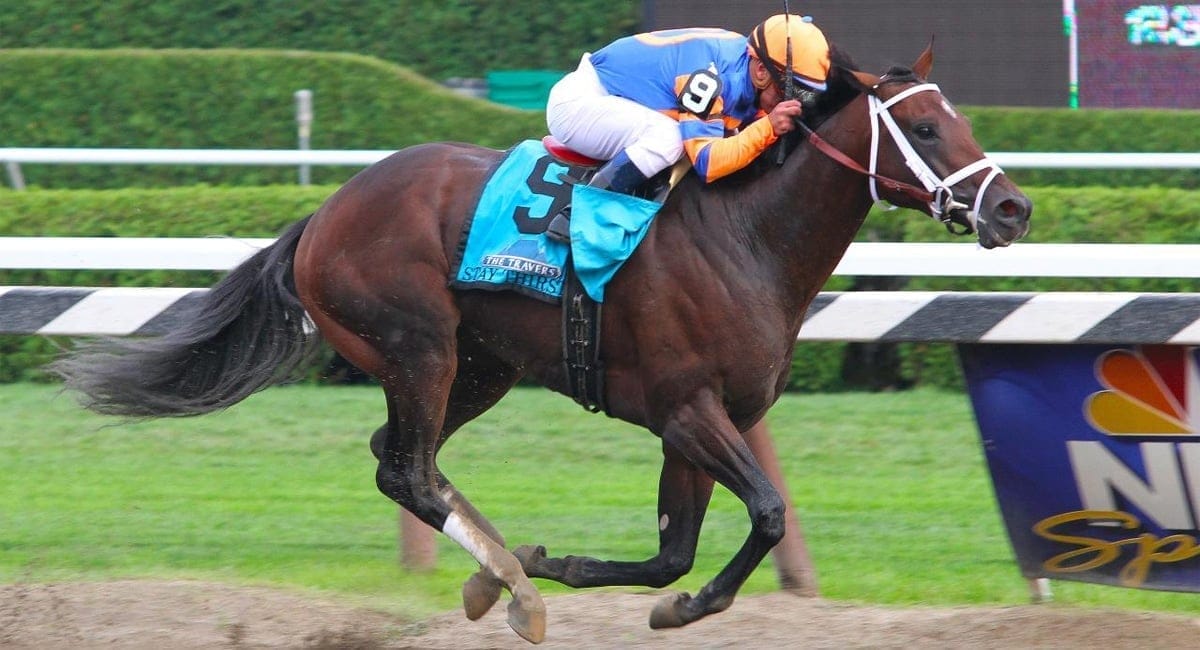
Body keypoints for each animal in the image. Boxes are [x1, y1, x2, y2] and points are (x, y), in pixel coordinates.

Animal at [51, 43, 1032, 642]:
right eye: (930, 127)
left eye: (964, 119)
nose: (1014, 209)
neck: (743, 236)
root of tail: (323, 215)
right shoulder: (686, 409)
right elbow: (764, 512)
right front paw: (673, 604)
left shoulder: (696, 422)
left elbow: (674, 548)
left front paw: (586, 571)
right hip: (421, 347)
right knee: (408, 470)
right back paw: (514, 593)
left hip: (478, 367)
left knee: (394, 457)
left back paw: (499, 573)